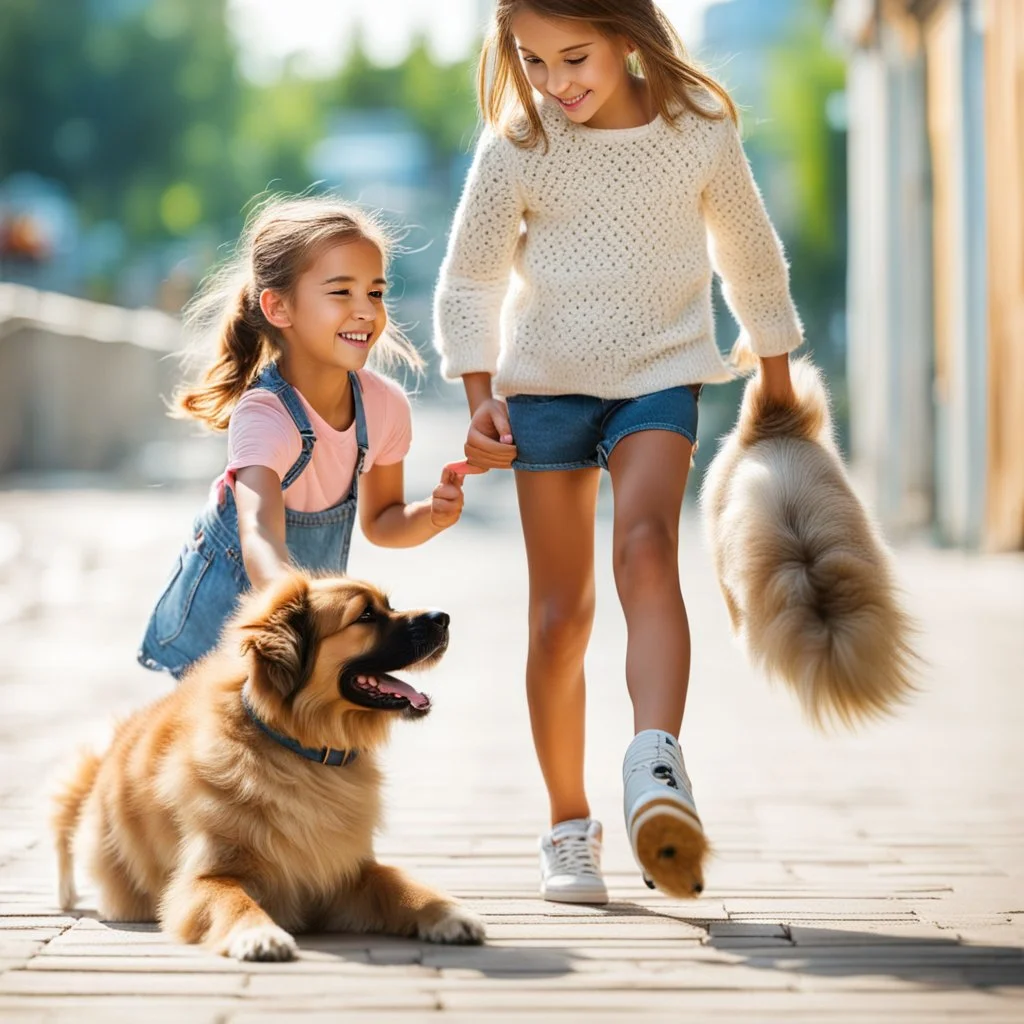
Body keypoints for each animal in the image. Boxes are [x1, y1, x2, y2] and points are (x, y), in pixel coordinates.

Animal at [54, 577, 485, 958]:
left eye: (389, 605)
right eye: (365, 615)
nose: (442, 618)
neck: (305, 753)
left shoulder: (347, 871)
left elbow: (401, 884)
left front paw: (449, 913)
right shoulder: (205, 878)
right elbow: (233, 900)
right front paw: (258, 934)